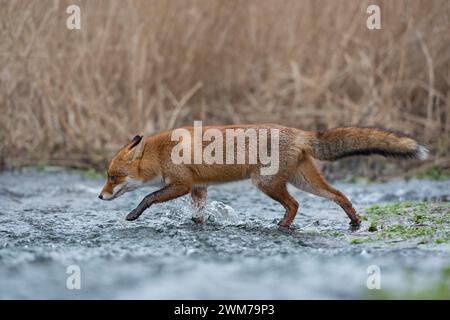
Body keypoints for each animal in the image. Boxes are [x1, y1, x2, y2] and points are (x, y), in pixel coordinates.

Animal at [99, 124, 428, 228]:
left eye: (113, 177)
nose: (100, 196)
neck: (161, 152)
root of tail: (300, 132)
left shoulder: (182, 183)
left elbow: (149, 196)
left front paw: (133, 214)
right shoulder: (199, 187)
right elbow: (199, 212)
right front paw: (198, 223)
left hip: (267, 183)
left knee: (295, 205)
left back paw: (282, 226)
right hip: (305, 181)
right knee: (339, 195)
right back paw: (355, 222)